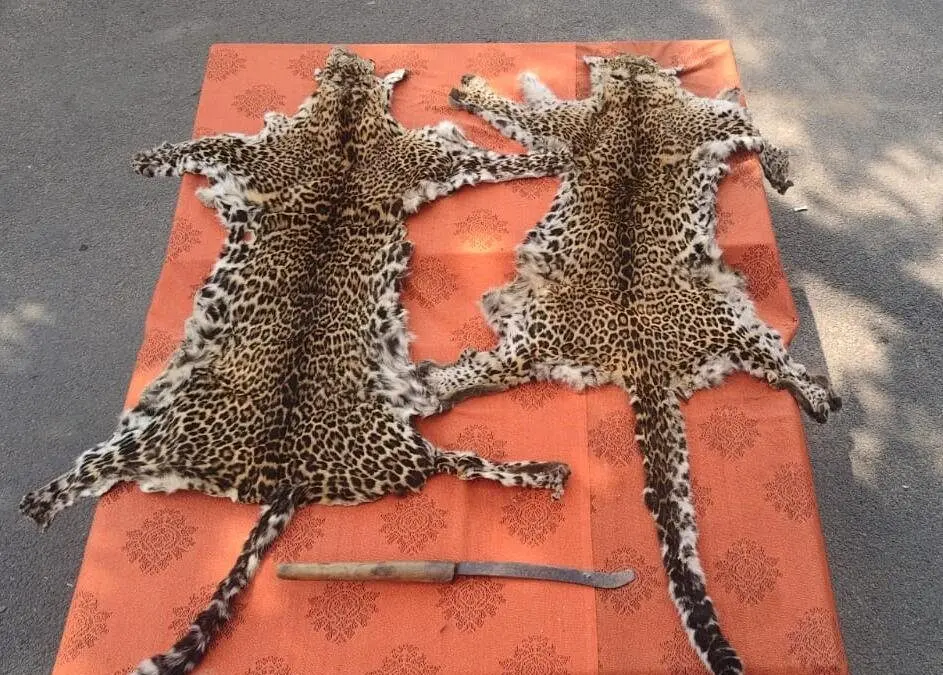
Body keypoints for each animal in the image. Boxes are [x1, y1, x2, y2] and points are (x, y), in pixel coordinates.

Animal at [18, 47, 572, 675]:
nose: (345, 55)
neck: (347, 115)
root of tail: (289, 478)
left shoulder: (273, 152)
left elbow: (204, 144)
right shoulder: (418, 156)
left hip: (161, 434)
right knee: (457, 460)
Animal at [418, 54, 841, 675]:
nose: (602, 65)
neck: (638, 87)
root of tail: (642, 358)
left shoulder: (583, 126)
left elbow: (527, 113)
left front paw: (482, 89)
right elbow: (744, 121)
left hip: (578, 325)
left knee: (486, 370)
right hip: (708, 320)